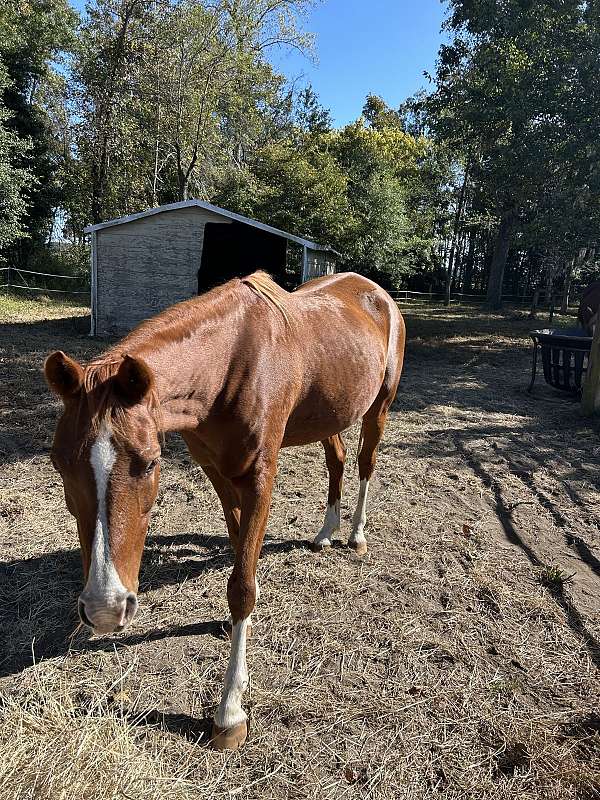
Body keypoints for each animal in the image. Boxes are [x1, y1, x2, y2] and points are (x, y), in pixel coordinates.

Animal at [44, 270, 406, 752]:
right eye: (58, 462)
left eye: (151, 462)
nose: (106, 608)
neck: (234, 367)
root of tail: (377, 293)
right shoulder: (216, 471)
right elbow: (239, 551)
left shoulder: (259, 479)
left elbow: (242, 587)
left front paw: (230, 712)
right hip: (329, 414)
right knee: (338, 458)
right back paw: (325, 532)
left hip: (379, 405)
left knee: (365, 463)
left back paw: (356, 535)